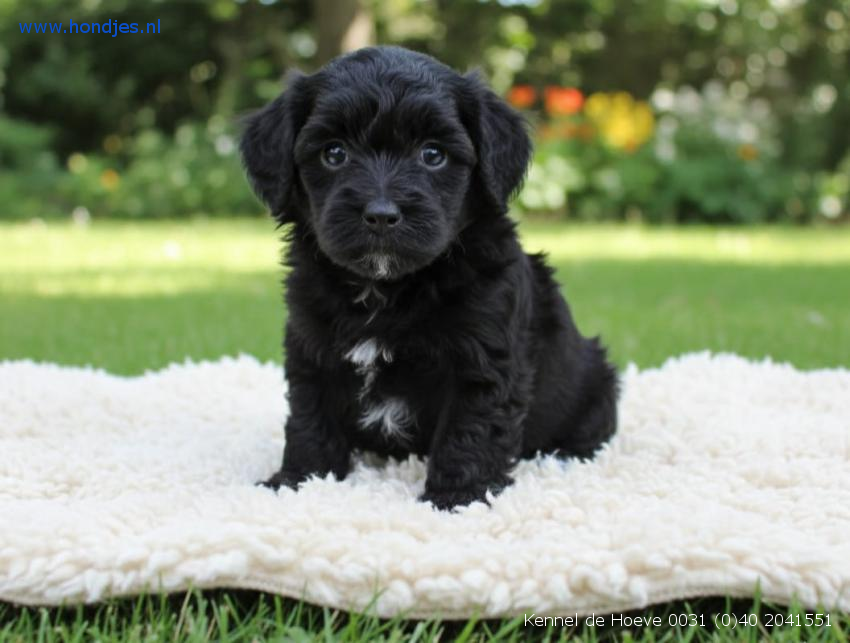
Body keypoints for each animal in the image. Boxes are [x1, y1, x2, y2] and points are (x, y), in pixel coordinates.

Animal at [240, 46, 618, 510]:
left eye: (433, 155)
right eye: (334, 153)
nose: (381, 215)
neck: (388, 288)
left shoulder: (482, 358)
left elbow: (469, 429)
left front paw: (456, 498)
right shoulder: (311, 347)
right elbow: (310, 417)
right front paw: (300, 481)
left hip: (596, 382)